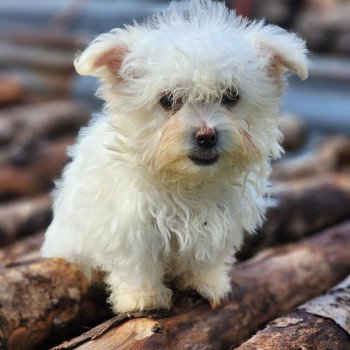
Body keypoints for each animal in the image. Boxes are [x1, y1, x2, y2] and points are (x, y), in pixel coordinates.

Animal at [42, 0, 308, 312]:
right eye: (168, 100)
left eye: (231, 96)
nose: (206, 135)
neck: (189, 184)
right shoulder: (129, 224)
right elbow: (137, 262)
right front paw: (142, 298)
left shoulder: (217, 223)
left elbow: (206, 257)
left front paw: (208, 284)